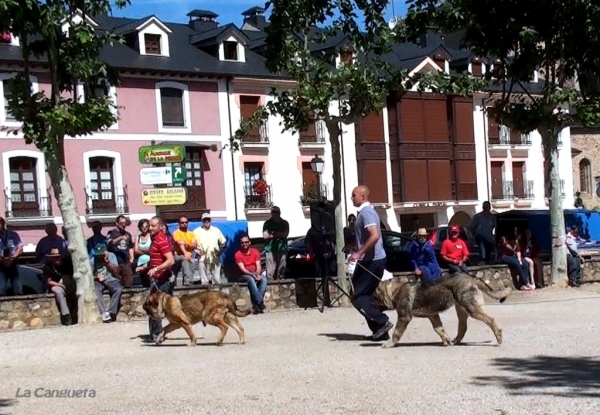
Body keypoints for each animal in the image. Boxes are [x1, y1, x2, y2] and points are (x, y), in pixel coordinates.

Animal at [376, 274, 510, 350]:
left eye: (375, 297)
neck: (395, 291)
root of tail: (471, 278)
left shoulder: (404, 317)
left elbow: (396, 333)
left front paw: (389, 344)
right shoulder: (433, 316)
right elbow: (439, 330)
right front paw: (447, 340)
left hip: (471, 309)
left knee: (491, 320)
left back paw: (499, 338)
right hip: (462, 310)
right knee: (463, 327)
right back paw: (455, 341)